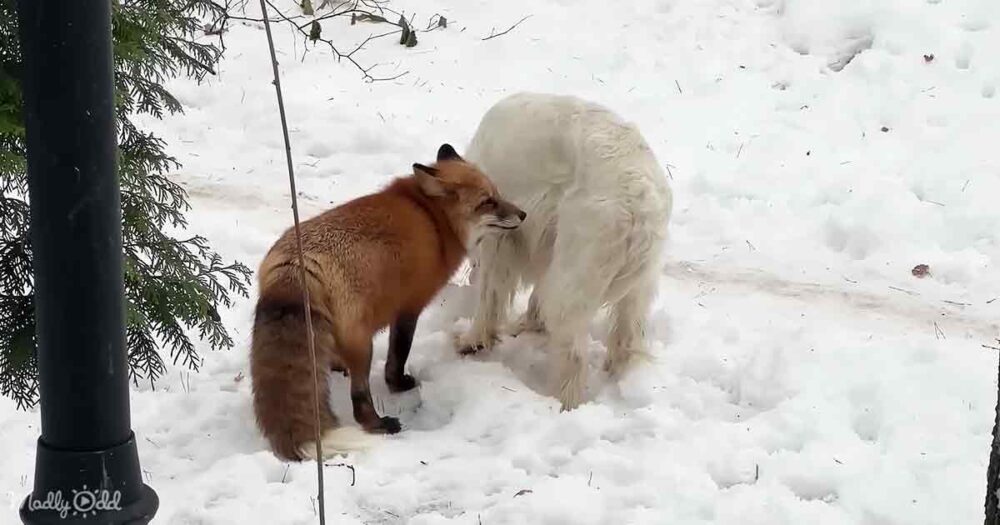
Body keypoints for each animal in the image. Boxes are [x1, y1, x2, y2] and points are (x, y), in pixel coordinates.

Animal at [250, 144, 525, 461]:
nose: (523, 214)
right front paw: (399, 384)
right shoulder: (409, 306)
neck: (433, 219)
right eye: (487, 202)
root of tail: (296, 265)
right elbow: (398, 354)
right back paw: (380, 424)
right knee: (359, 398)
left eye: (497, 195)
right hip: (363, 346)